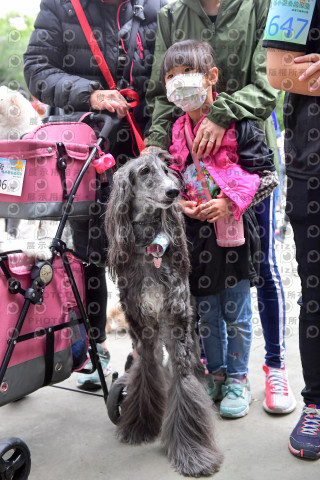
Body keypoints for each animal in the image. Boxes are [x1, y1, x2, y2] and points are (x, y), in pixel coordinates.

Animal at [105, 154, 222, 476]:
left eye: (168, 169)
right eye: (145, 171)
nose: (173, 192)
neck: (150, 250)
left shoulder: (176, 318)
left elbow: (183, 378)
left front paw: (192, 452)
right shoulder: (141, 327)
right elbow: (145, 371)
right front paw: (139, 425)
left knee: (193, 360)